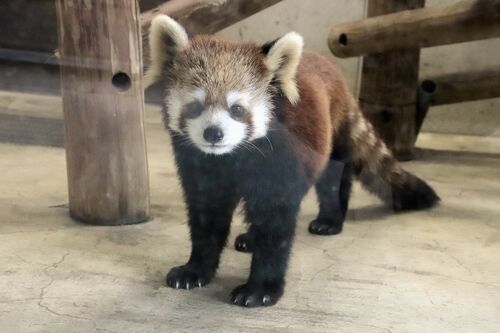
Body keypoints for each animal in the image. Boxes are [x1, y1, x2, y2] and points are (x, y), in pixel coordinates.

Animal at [145, 14, 438, 306]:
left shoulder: (280, 161)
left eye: (237, 109)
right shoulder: (201, 167)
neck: (233, 156)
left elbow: (276, 224)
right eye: (195, 106)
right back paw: (250, 238)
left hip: (335, 132)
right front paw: (195, 270)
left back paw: (330, 220)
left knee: (334, 180)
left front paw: (260, 288)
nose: (214, 133)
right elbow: (206, 215)